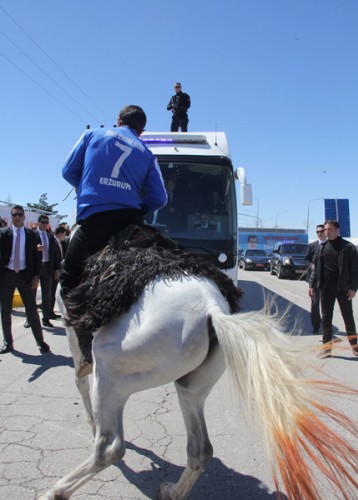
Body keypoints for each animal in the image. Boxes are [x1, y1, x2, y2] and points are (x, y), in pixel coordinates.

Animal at [40, 231, 356, 500]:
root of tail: (212, 310)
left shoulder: (75, 339)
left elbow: (79, 379)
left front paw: (91, 424)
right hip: (191, 388)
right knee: (200, 450)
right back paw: (172, 491)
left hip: (111, 378)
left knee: (110, 448)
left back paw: (55, 491)